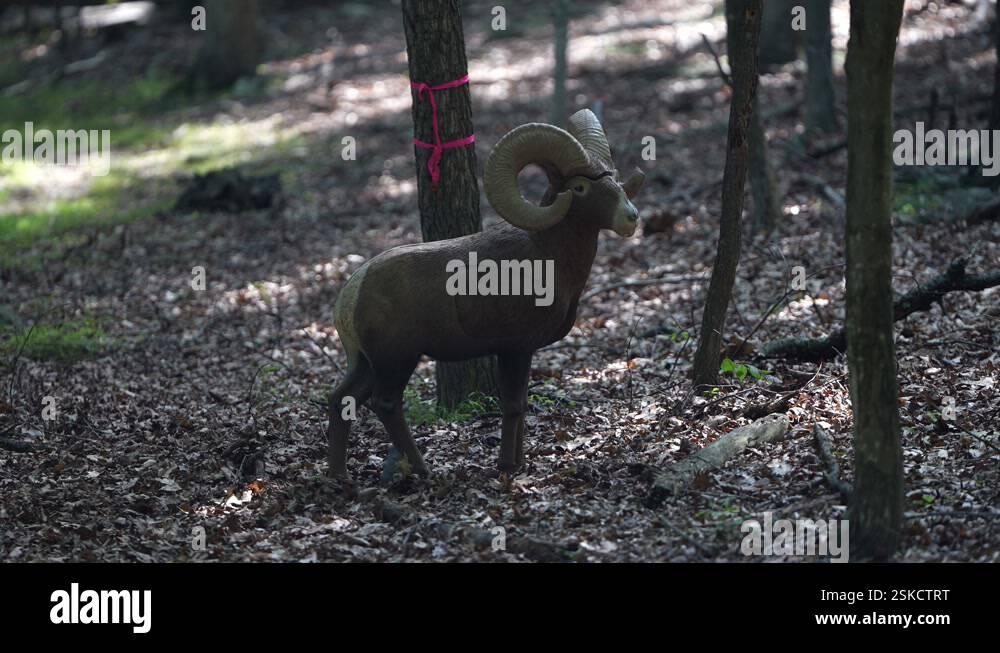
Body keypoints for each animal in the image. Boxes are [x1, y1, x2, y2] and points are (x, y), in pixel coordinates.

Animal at [326, 109, 645, 479]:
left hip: (366, 363)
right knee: (386, 404)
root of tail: (351, 295)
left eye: (614, 179)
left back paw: (340, 476)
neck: (547, 255)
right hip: (396, 361)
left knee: (342, 400)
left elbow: (521, 404)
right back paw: (423, 470)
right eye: (579, 187)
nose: (631, 218)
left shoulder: (524, 352)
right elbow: (512, 405)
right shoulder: (514, 350)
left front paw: (520, 463)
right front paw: (507, 466)